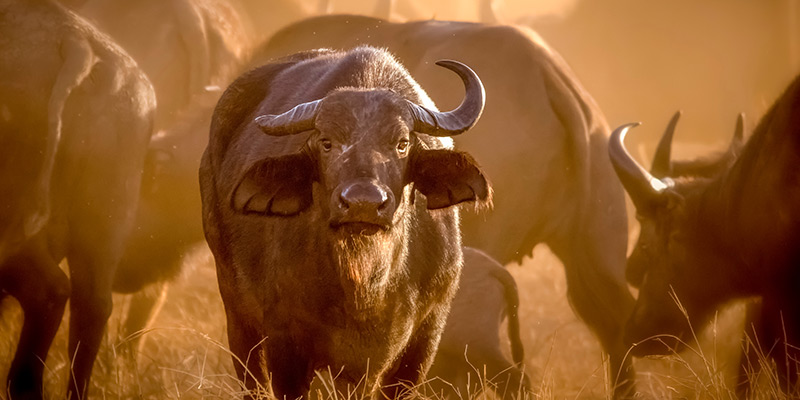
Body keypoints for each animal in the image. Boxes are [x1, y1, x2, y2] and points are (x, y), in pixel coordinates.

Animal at [199, 46, 491, 398]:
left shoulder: (424, 337)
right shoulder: (285, 339)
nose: (363, 203)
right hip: (236, 310)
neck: (364, 284)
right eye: (326, 142)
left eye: (402, 143)